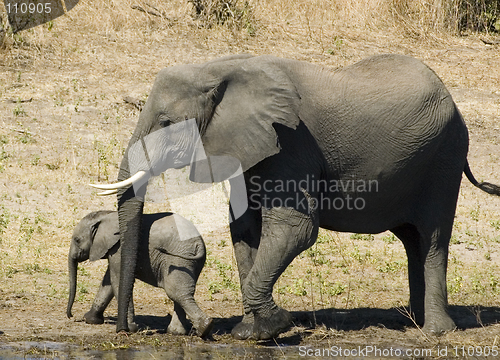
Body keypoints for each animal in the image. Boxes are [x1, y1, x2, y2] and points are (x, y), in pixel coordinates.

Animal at [67, 211, 213, 338]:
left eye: (77, 240)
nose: (71, 316)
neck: (107, 214)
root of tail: (199, 244)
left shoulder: (119, 248)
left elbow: (116, 280)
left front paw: (130, 328)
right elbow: (108, 282)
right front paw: (90, 319)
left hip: (177, 260)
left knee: (176, 292)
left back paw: (204, 328)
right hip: (190, 262)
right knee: (181, 293)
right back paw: (178, 332)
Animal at [92, 52, 500, 338]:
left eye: (166, 123)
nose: (127, 330)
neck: (219, 67)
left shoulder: (291, 142)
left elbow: (295, 229)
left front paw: (276, 326)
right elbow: (244, 230)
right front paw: (249, 332)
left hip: (444, 159)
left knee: (432, 238)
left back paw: (434, 331)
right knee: (412, 240)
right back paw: (412, 321)